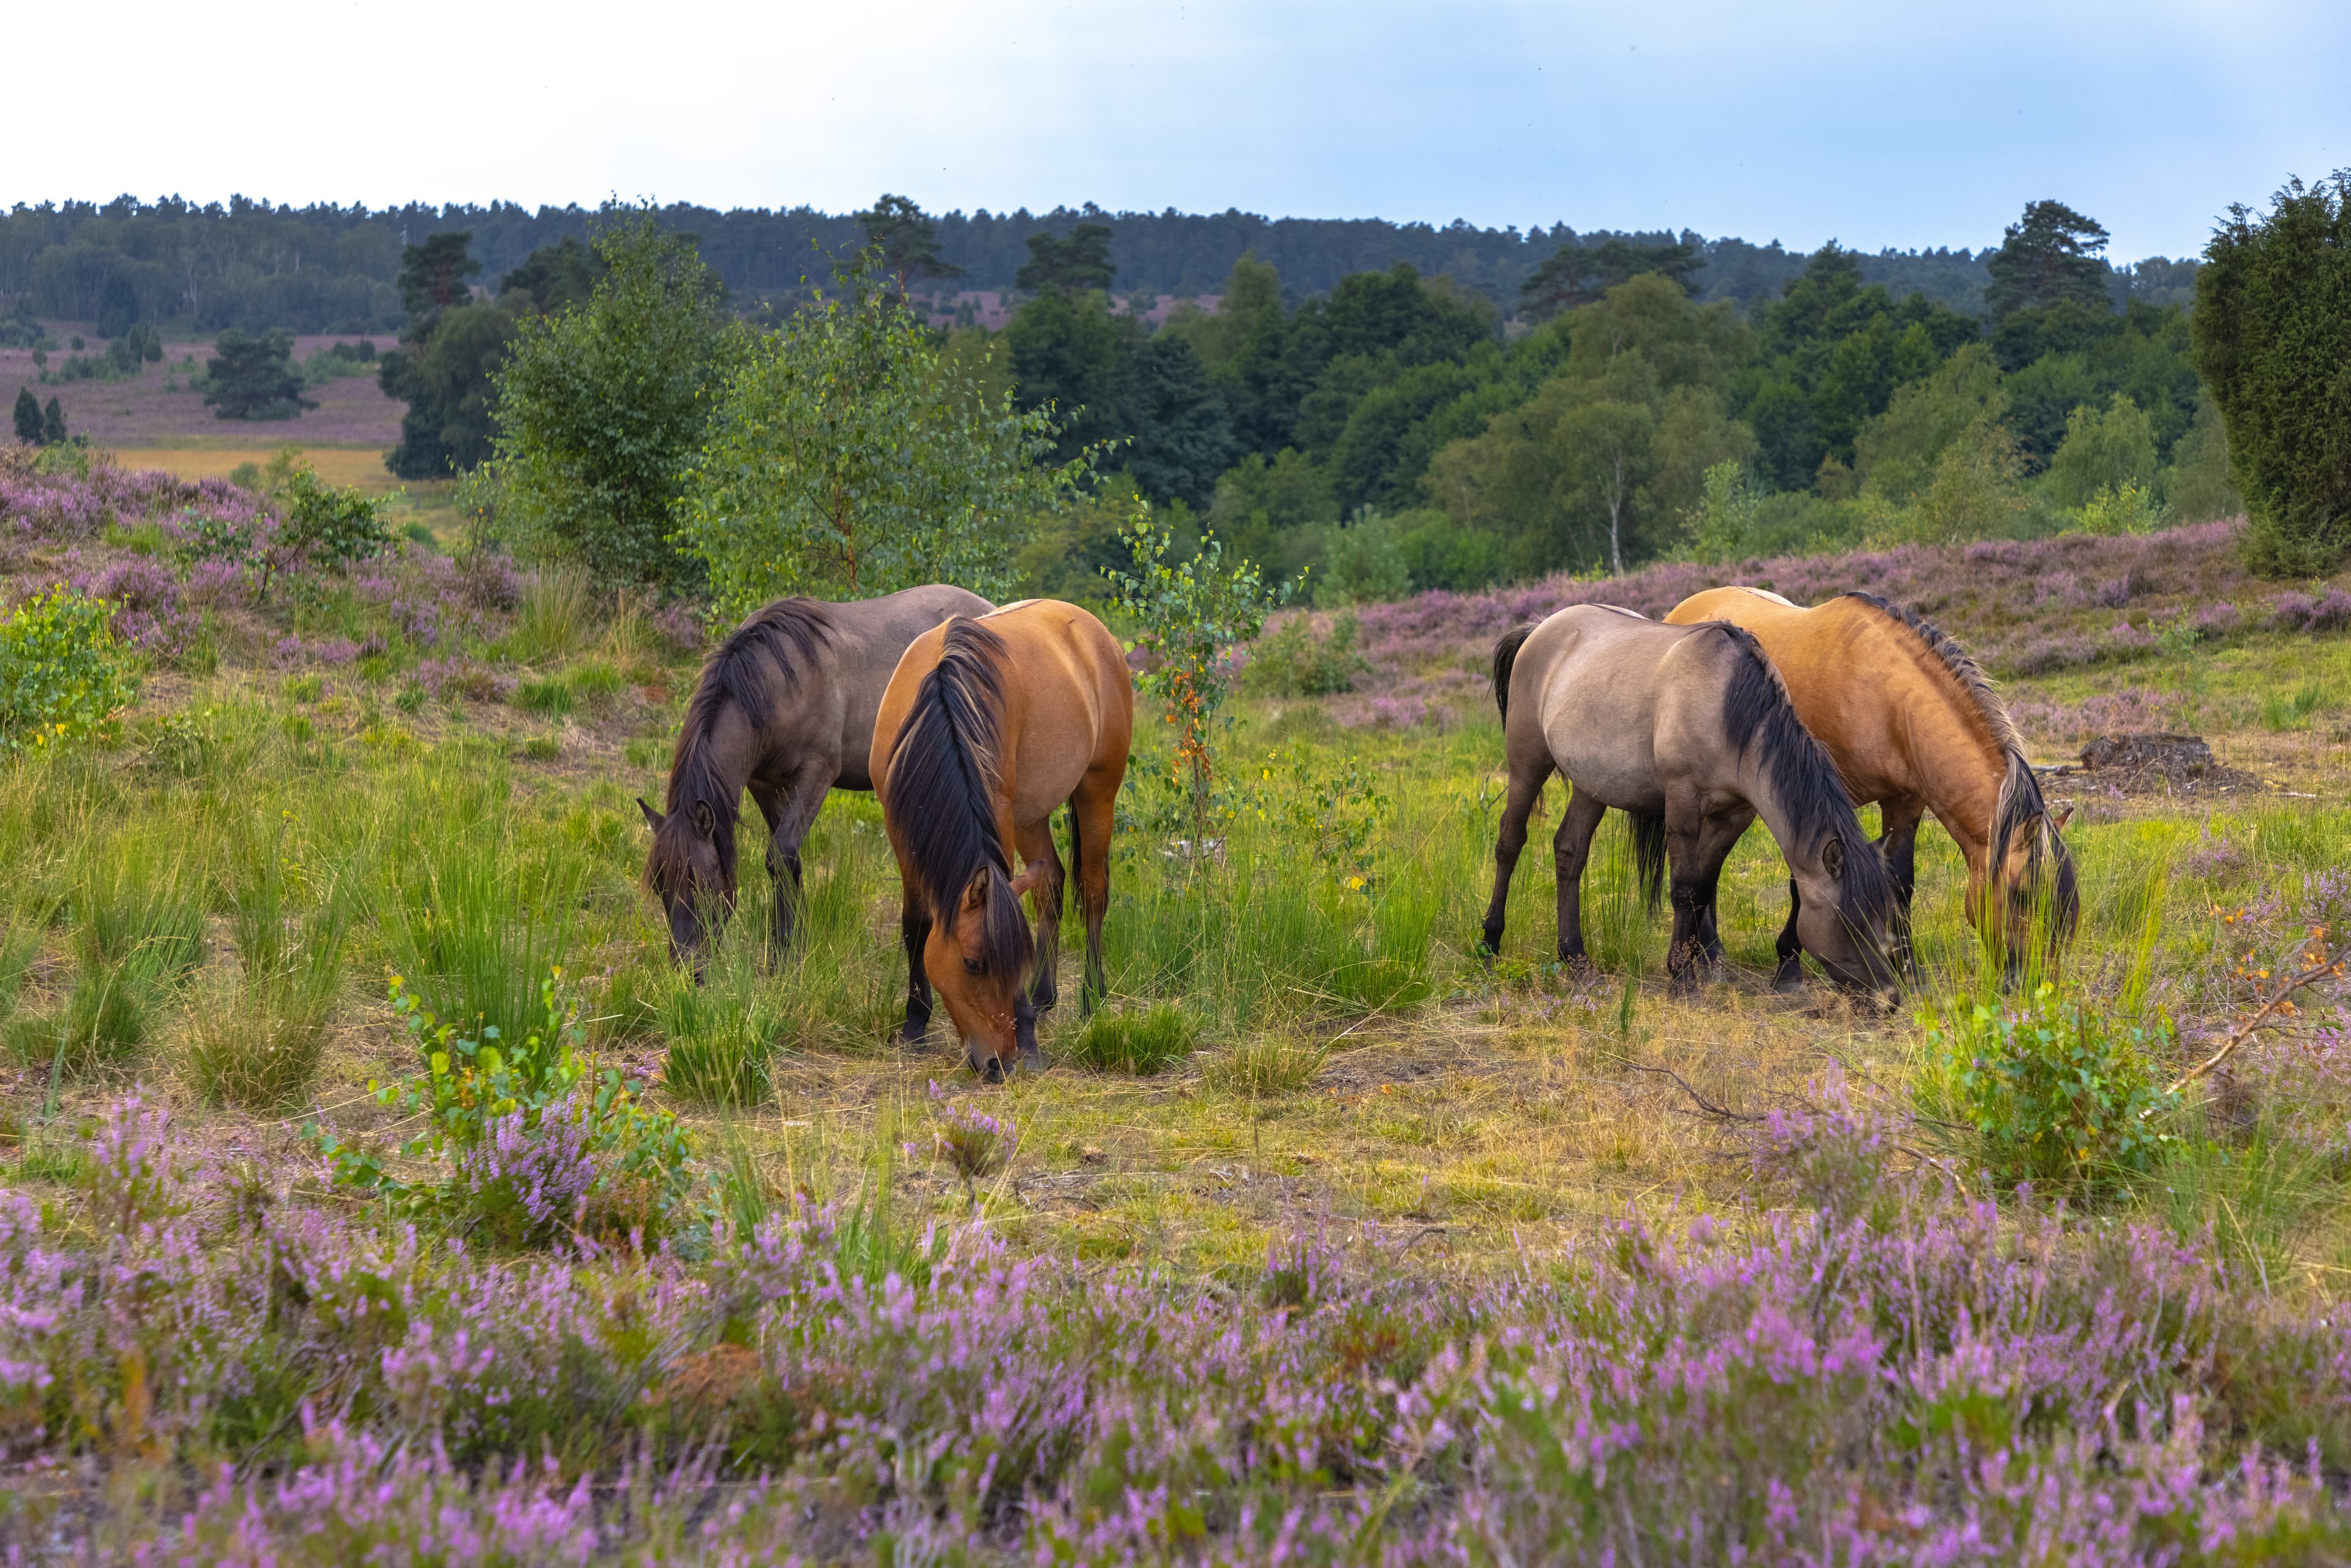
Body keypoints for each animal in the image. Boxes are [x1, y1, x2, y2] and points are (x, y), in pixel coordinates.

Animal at [639, 584, 994, 968]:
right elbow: (788, 860)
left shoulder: (817, 773)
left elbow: (781, 854)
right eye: (660, 886)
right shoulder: (764, 785)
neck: (775, 685)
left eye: (701, 882)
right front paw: (794, 948)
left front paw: (783, 956)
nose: (688, 967)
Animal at [871, 600, 1133, 1081]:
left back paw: (1092, 997)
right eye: (972, 964)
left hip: (1097, 791)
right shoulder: (900, 829)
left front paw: (1027, 1037)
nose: (998, 1063)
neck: (941, 700)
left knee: (1092, 892)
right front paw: (914, 1024)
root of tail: (1096, 631)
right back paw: (1046, 997)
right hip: (1032, 814)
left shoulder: (998, 817)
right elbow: (916, 925)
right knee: (1051, 884)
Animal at [1481, 605, 1903, 1001]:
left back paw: (1577, 961)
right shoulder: (1682, 803)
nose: (1890, 997)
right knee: (1510, 842)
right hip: (1527, 764)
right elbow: (1684, 888)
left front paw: (1704, 964)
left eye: (1884, 914)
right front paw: (1682, 976)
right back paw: (1489, 943)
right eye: (1850, 922)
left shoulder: (1733, 816)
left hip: (1592, 785)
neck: (1727, 705)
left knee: (1570, 852)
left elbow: (1702, 886)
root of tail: (1539, 629)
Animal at [1663, 588, 2077, 987]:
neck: (1888, 698)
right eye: (2023, 894)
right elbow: (1803, 885)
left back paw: (1711, 955)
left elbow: (1901, 883)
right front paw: (1789, 966)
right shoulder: (1812, 803)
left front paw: (1907, 967)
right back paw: (1709, 955)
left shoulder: (1904, 801)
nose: (2037, 983)